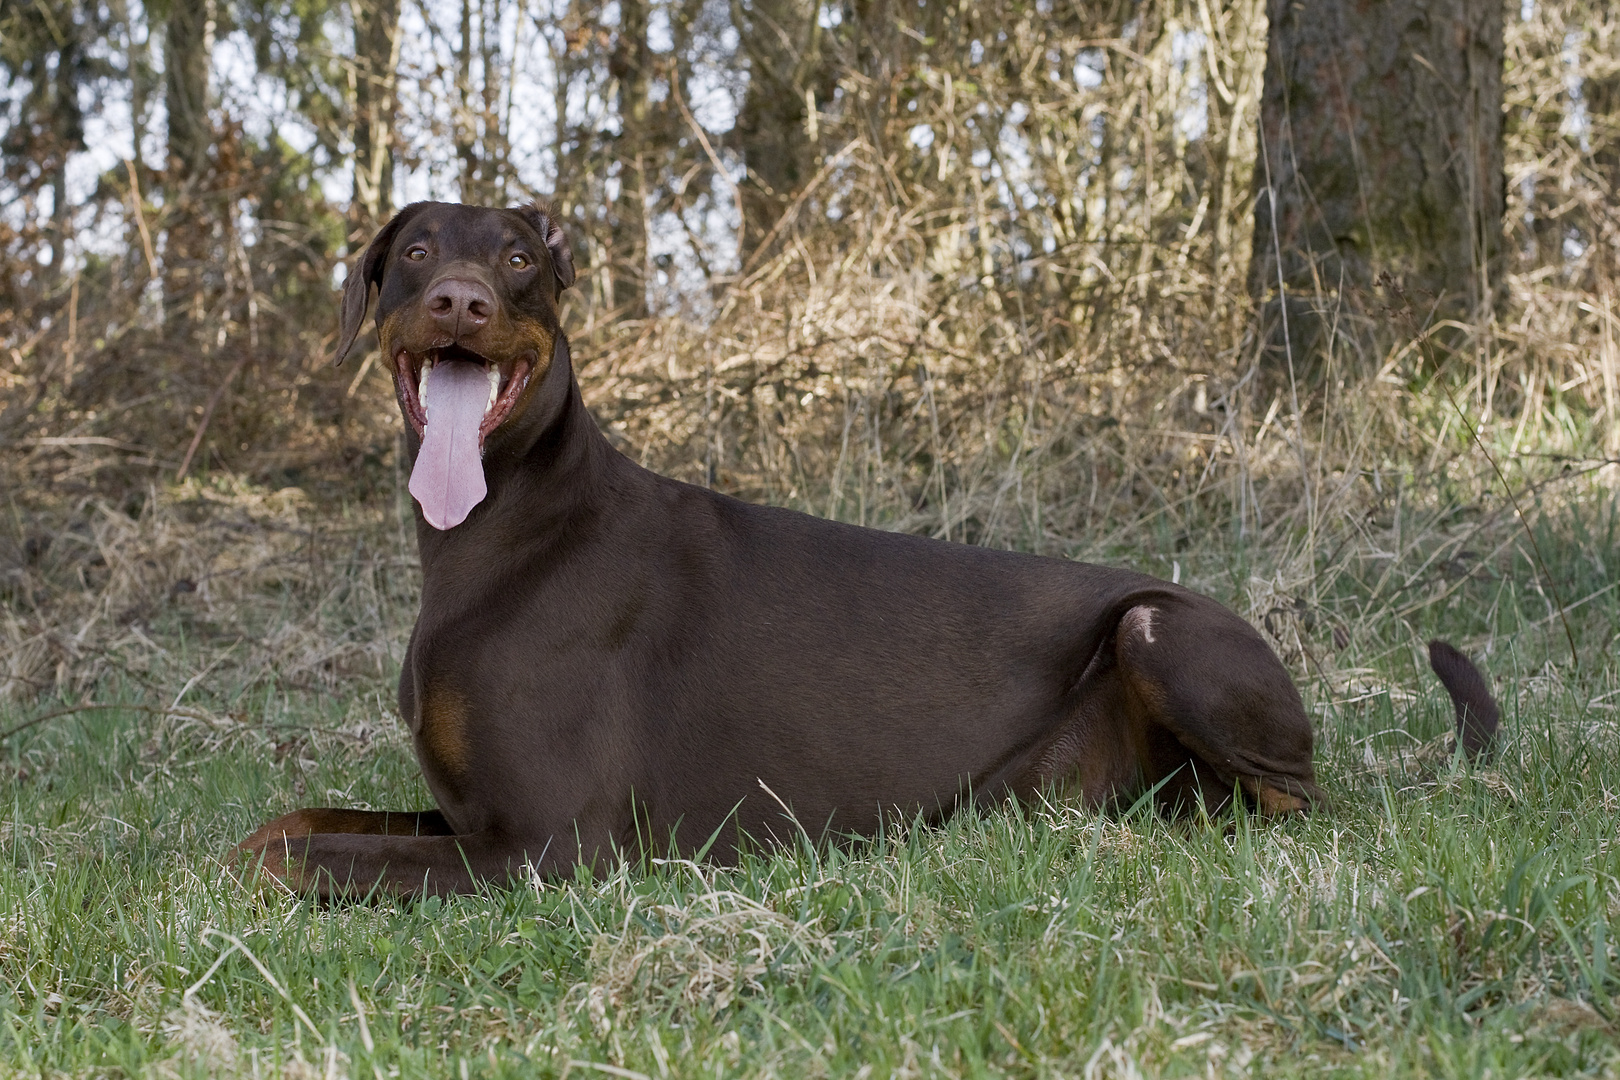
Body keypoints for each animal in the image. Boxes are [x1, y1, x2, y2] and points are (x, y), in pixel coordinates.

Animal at [234, 200, 1496, 893]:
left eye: (516, 260)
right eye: (412, 253)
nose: (457, 301)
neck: (497, 530)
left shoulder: (547, 848)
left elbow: (290, 858)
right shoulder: (472, 820)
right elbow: (284, 824)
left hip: (1158, 628)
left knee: (1297, 806)